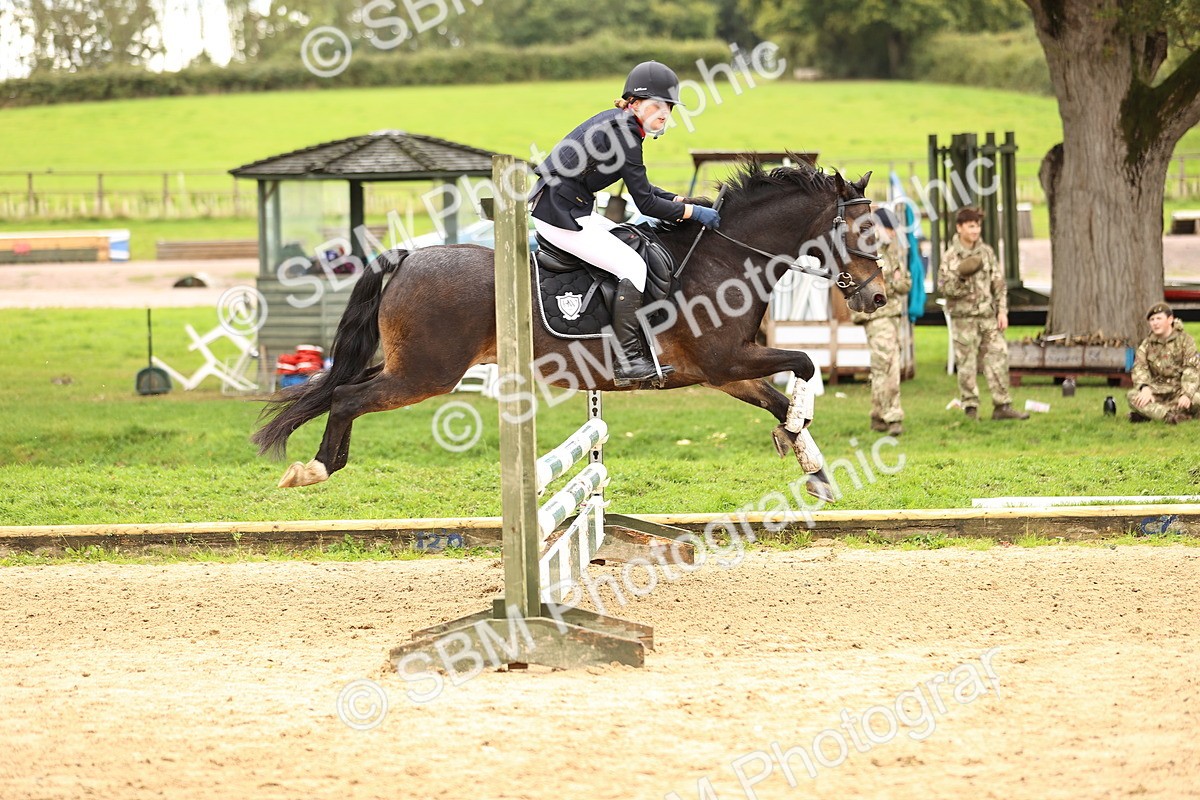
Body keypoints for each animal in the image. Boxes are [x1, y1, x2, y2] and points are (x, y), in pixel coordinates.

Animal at [252, 161, 887, 498]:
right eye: (861, 235)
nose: (879, 296)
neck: (725, 258)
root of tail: (407, 256)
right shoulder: (724, 362)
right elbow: (804, 364)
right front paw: (801, 435)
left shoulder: (725, 371)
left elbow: (780, 397)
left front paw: (815, 470)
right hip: (426, 375)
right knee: (346, 396)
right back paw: (316, 468)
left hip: (409, 366)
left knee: (340, 389)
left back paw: (323, 463)